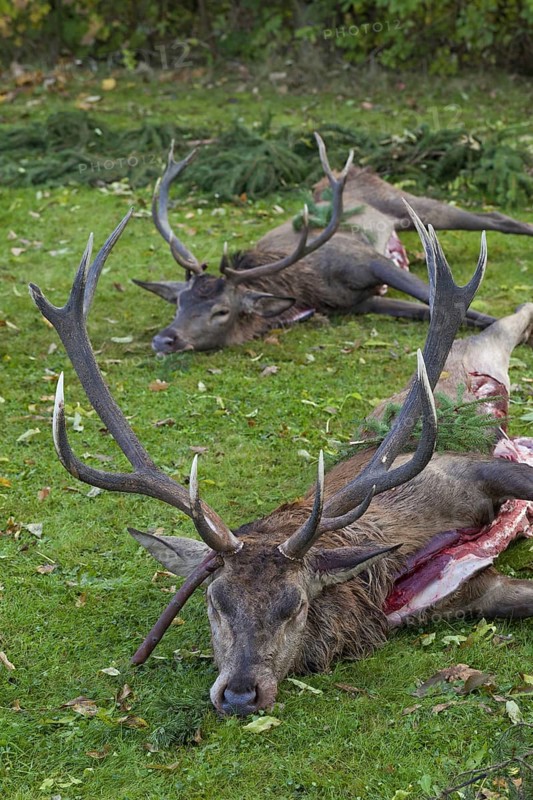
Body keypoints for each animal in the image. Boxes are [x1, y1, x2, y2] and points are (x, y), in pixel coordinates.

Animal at [30, 205, 533, 717]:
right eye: (215, 602)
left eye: (294, 605)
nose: (238, 694)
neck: (392, 561)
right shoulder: (469, 593)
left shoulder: (462, 469)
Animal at [133, 134, 533, 353]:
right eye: (179, 303)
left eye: (221, 311)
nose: (164, 339)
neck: (308, 289)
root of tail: (354, 170)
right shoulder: (362, 303)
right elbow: (430, 310)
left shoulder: (367, 258)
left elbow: (448, 304)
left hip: (408, 204)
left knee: (499, 218)